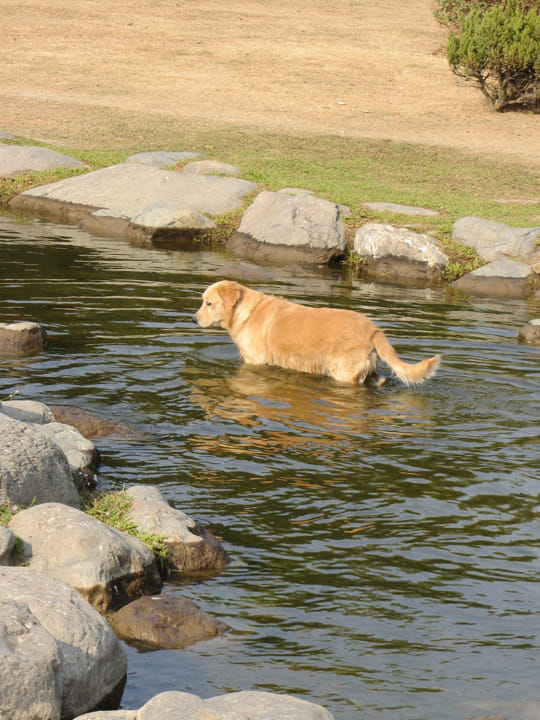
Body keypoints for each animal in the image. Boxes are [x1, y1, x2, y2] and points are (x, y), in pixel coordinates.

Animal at [193, 280, 438, 388]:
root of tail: (373, 329)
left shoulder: (256, 361)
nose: (193, 319)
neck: (244, 311)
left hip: (343, 371)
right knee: (381, 379)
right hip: (366, 366)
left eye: (208, 303)